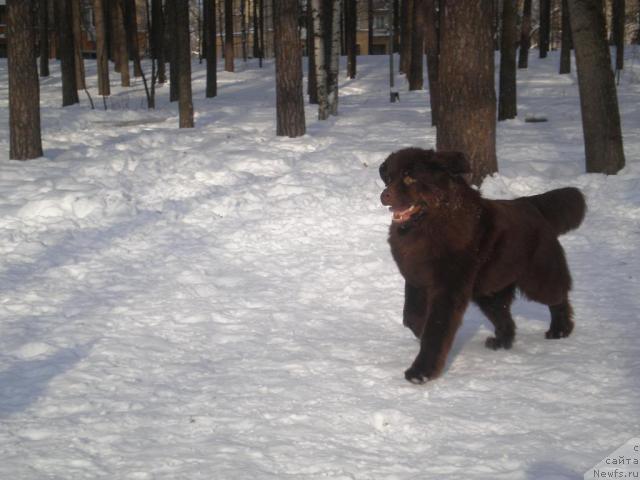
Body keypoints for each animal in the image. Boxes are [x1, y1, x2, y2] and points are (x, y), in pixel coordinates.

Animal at [380, 148, 584, 384]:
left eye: (410, 177)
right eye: (389, 178)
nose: (384, 195)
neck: (429, 225)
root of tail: (530, 204)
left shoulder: (448, 289)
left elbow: (436, 328)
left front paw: (421, 372)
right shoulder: (415, 279)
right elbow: (411, 318)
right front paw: (421, 336)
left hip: (537, 278)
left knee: (558, 297)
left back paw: (560, 329)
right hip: (489, 290)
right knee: (504, 316)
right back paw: (501, 342)